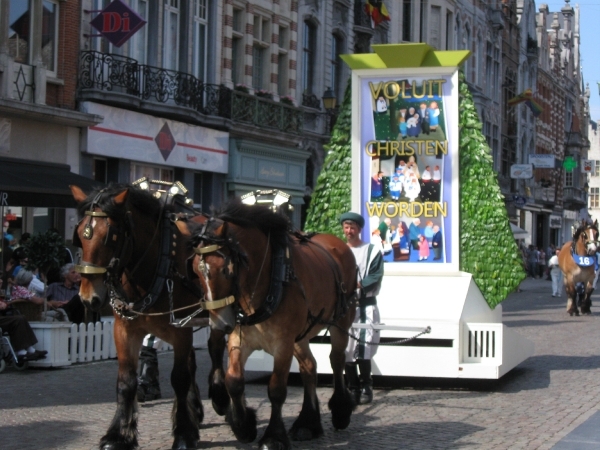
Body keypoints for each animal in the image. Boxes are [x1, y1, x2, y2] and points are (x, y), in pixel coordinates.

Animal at [69, 182, 227, 450]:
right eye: (80, 235)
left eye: (111, 236)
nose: (89, 298)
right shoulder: (125, 329)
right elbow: (126, 382)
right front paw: (118, 435)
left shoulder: (180, 330)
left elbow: (179, 378)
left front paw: (183, 434)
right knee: (194, 361)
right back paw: (196, 410)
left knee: (216, 351)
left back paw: (220, 397)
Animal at [192, 201, 358, 450]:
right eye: (195, 270)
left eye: (225, 270)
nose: (220, 323)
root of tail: (338, 243)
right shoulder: (239, 340)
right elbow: (234, 381)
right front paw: (243, 426)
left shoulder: (282, 345)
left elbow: (277, 390)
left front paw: (273, 436)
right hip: (301, 336)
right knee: (309, 367)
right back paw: (307, 423)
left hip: (341, 323)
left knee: (336, 361)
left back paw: (340, 410)